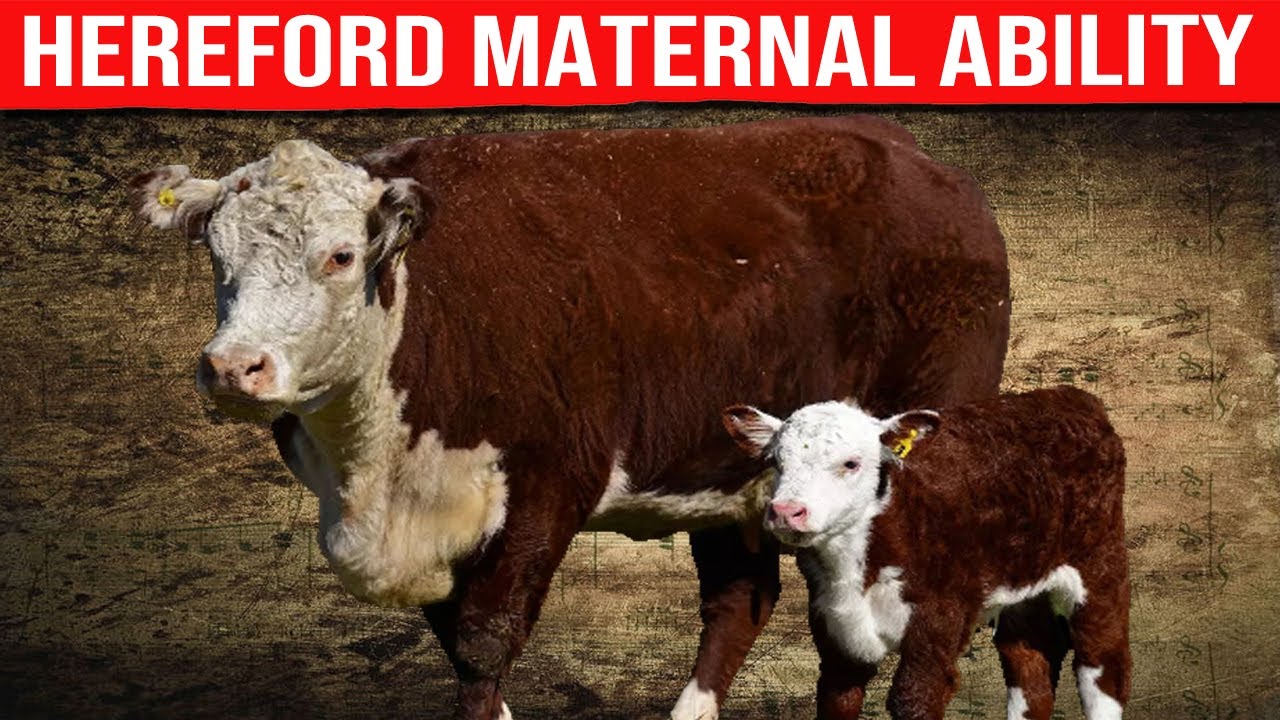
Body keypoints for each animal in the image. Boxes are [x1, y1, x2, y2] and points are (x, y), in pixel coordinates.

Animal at [130, 116, 1017, 720]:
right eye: (215, 253)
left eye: (341, 255)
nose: (233, 367)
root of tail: (925, 164)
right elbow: (458, 641)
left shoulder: (547, 483)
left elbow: (486, 636)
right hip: (727, 463)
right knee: (740, 598)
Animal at [721, 386, 1130, 720]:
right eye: (776, 462)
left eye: (851, 463)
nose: (786, 511)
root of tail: (1075, 398)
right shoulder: (835, 636)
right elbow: (838, 699)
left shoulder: (937, 622)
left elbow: (913, 698)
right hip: (1023, 590)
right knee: (1030, 671)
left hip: (1099, 565)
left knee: (1103, 667)